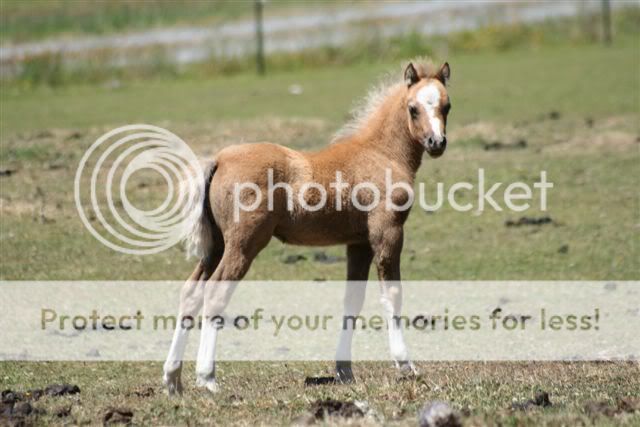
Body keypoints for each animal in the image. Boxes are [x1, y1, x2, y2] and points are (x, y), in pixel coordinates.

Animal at [162, 59, 452, 394]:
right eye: (413, 108)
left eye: (447, 106)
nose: (436, 143)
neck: (380, 153)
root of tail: (219, 159)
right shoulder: (387, 233)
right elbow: (392, 294)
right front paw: (406, 365)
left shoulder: (358, 242)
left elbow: (352, 300)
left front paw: (344, 370)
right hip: (244, 244)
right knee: (215, 293)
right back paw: (207, 377)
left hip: (216, 246)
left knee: (191, 293)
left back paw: (172, 378)